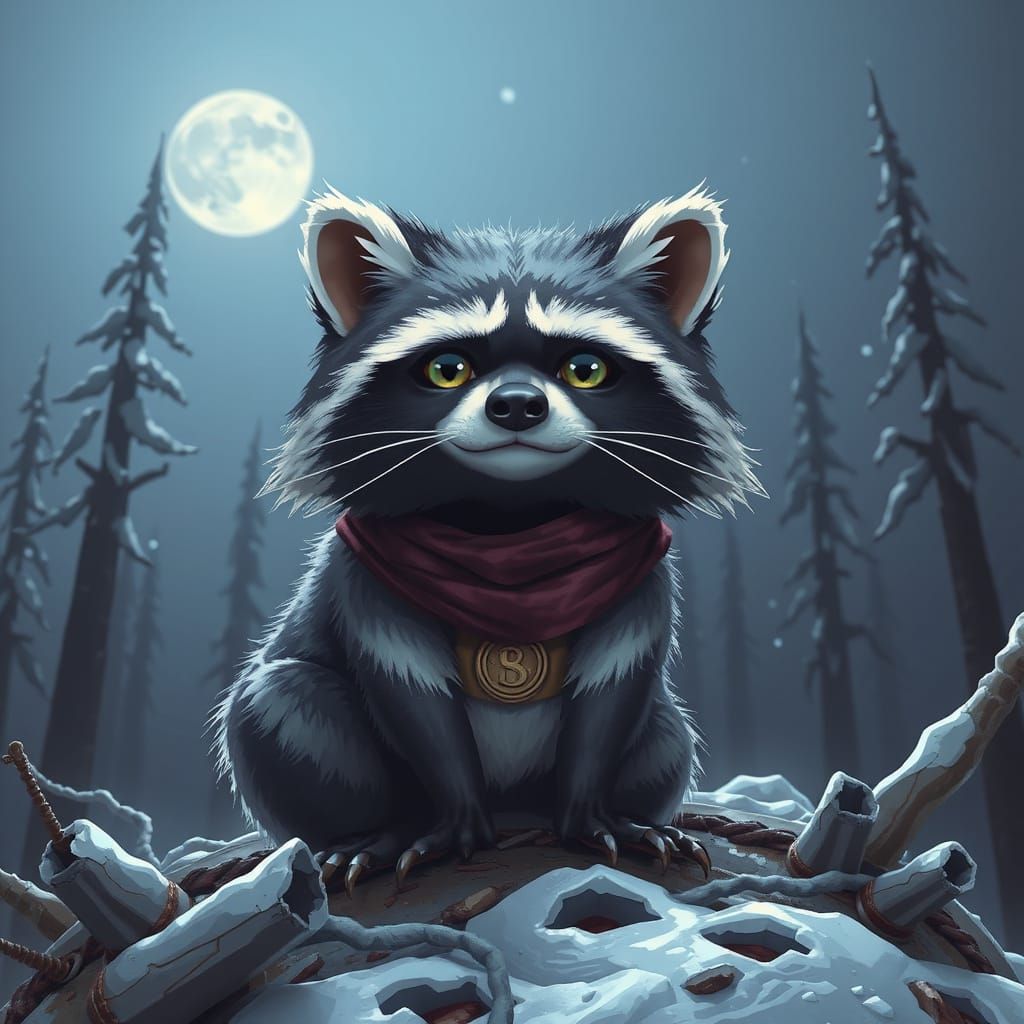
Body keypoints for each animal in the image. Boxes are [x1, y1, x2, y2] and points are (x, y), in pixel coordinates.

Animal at [214, 185, 761, 892]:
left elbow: (614, 677)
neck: (509, 519)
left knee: (669, 736)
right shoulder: (363, 568)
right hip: (304, 726)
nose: (518, 406)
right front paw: (450, 819)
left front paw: (589, 812)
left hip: (655, 736)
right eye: (448, 368)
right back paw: (374, 828)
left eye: (585, 369)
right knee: (281, 703)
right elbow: (406, 683)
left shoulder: (638, 565)